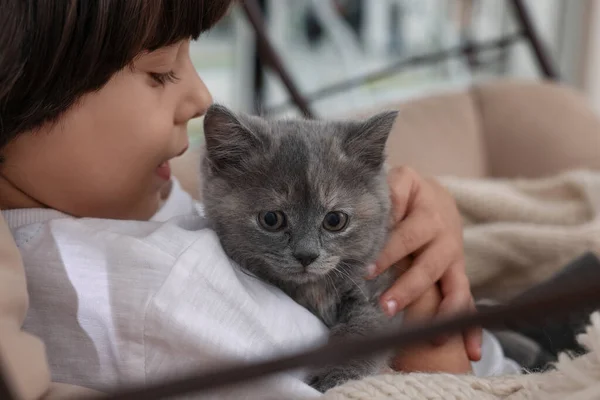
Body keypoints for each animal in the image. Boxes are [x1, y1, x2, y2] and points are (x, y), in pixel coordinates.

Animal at [203, 104, 404, 392]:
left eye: (335, 220)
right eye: (271, 219)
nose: (306, 255)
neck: (310, 289)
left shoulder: (380, 291)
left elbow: (363, 328)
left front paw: (334, 375)